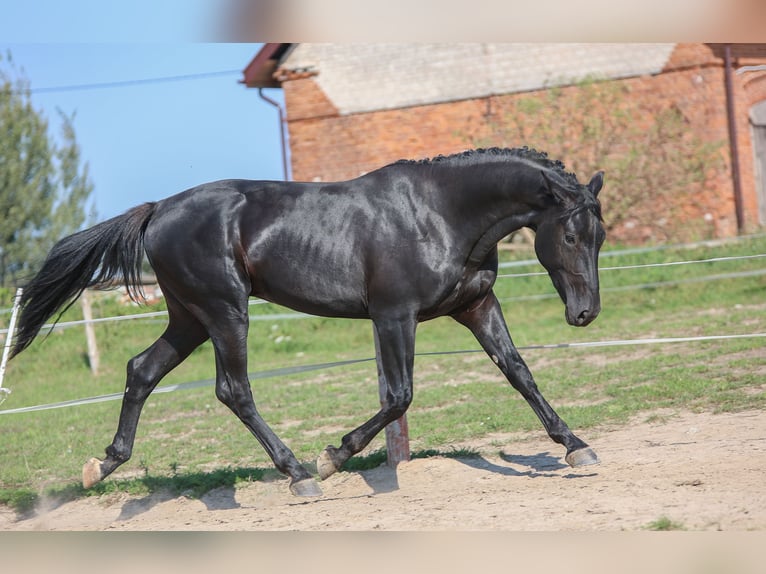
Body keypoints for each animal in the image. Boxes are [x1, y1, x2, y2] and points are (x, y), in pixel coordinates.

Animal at [7, 146, 608, 498]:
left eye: (600, 236)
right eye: (570, 235)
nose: (585, 314)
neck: (439, 213)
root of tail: (157, 210)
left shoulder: (476, 306)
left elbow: (519, 372)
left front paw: (576, 446)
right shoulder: (394, 316)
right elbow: (399, 396)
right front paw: (330, 459)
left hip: (189, 318)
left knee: (142, 370)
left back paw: (103, 465)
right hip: (225, 312)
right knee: (233, 389)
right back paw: (298, 474)